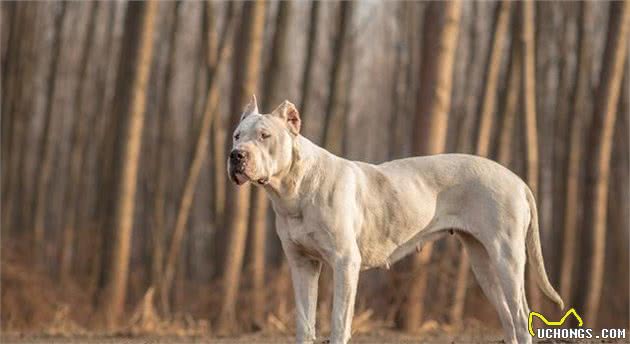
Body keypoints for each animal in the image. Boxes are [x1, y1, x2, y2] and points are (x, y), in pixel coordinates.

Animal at [230, 96, 564, 344]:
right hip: (483, 263)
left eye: (264, 136)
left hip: (507, 258)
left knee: (520, 316)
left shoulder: (345, 263)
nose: (236, 155)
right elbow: (304, 323)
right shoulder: (302, 264)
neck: (294, 189)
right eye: (236, 135)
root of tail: (517, 180)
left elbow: (339, 323)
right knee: (508, 318)